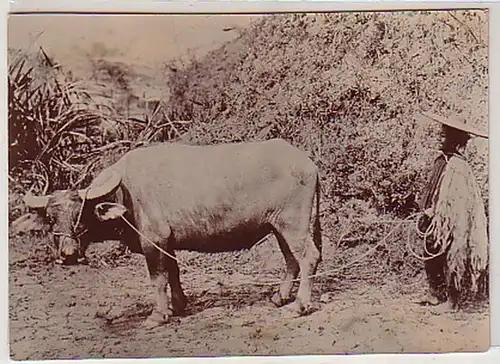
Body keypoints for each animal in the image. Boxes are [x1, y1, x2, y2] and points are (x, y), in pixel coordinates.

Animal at [20, 139, 320, 328]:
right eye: (51, 218)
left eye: (80, 215)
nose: (68, 255)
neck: (125, 194)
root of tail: (309, 163)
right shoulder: (168, 244)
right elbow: (173, 272)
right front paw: (178, 305)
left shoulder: (153, 242)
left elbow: (158, 279)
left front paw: (158, 315)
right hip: (279, 226)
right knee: (291, 259)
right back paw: (280, 297)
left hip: (293, 223)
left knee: (308, 257)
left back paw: (299, 305)